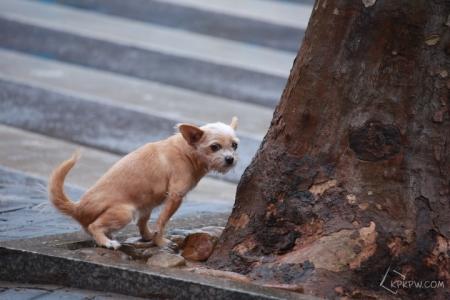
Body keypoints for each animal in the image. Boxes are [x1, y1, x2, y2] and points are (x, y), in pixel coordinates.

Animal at [48, 117, 239, 248]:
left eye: (235, 145)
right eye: (215, 147)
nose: (230, 159)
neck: (186, 150)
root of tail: (78, 207)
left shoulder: (156, 203)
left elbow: (150, 223)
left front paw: (152, 238)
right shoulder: (175, 196)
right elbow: (162, 222)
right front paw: (160, 242)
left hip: (144, 205)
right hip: (125, 212)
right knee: (94, 226)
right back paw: (107, 242)